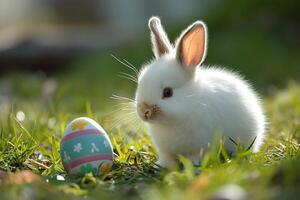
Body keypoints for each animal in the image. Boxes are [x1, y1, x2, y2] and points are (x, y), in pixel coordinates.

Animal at [134, 16, 264, 167]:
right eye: (140, 83)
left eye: (167, 92)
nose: (144, 111)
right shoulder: (166, 150)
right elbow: (167, 157)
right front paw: (161, 165)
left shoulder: (200, 147)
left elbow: (195, 157)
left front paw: (192, 165)